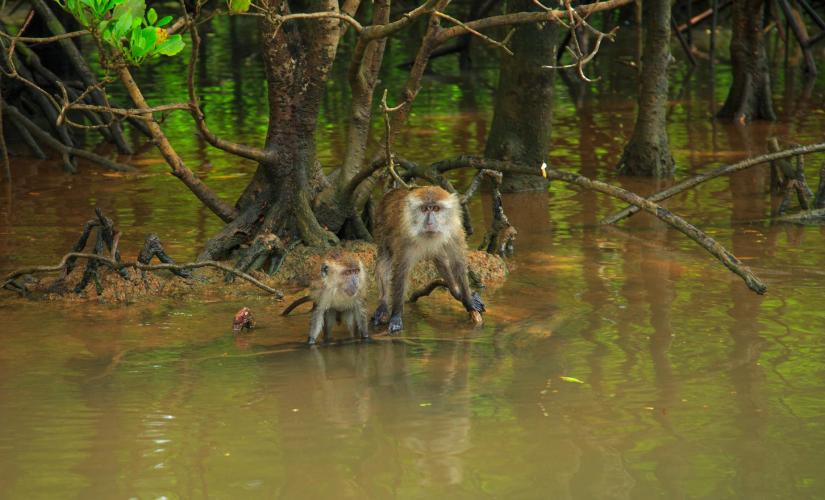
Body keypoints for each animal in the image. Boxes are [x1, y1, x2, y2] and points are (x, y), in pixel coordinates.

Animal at [372, 186, 482, 334]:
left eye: (435, 208)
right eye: (424, 209)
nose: (430, 222)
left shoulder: (454, 230)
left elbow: (457, 264)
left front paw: (468, 301)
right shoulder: (404, 236)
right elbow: (401, 271)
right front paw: (396, 315)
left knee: (440, 257)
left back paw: (456, 292)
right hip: (380, 224)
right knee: (384, 259)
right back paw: (383, 304)